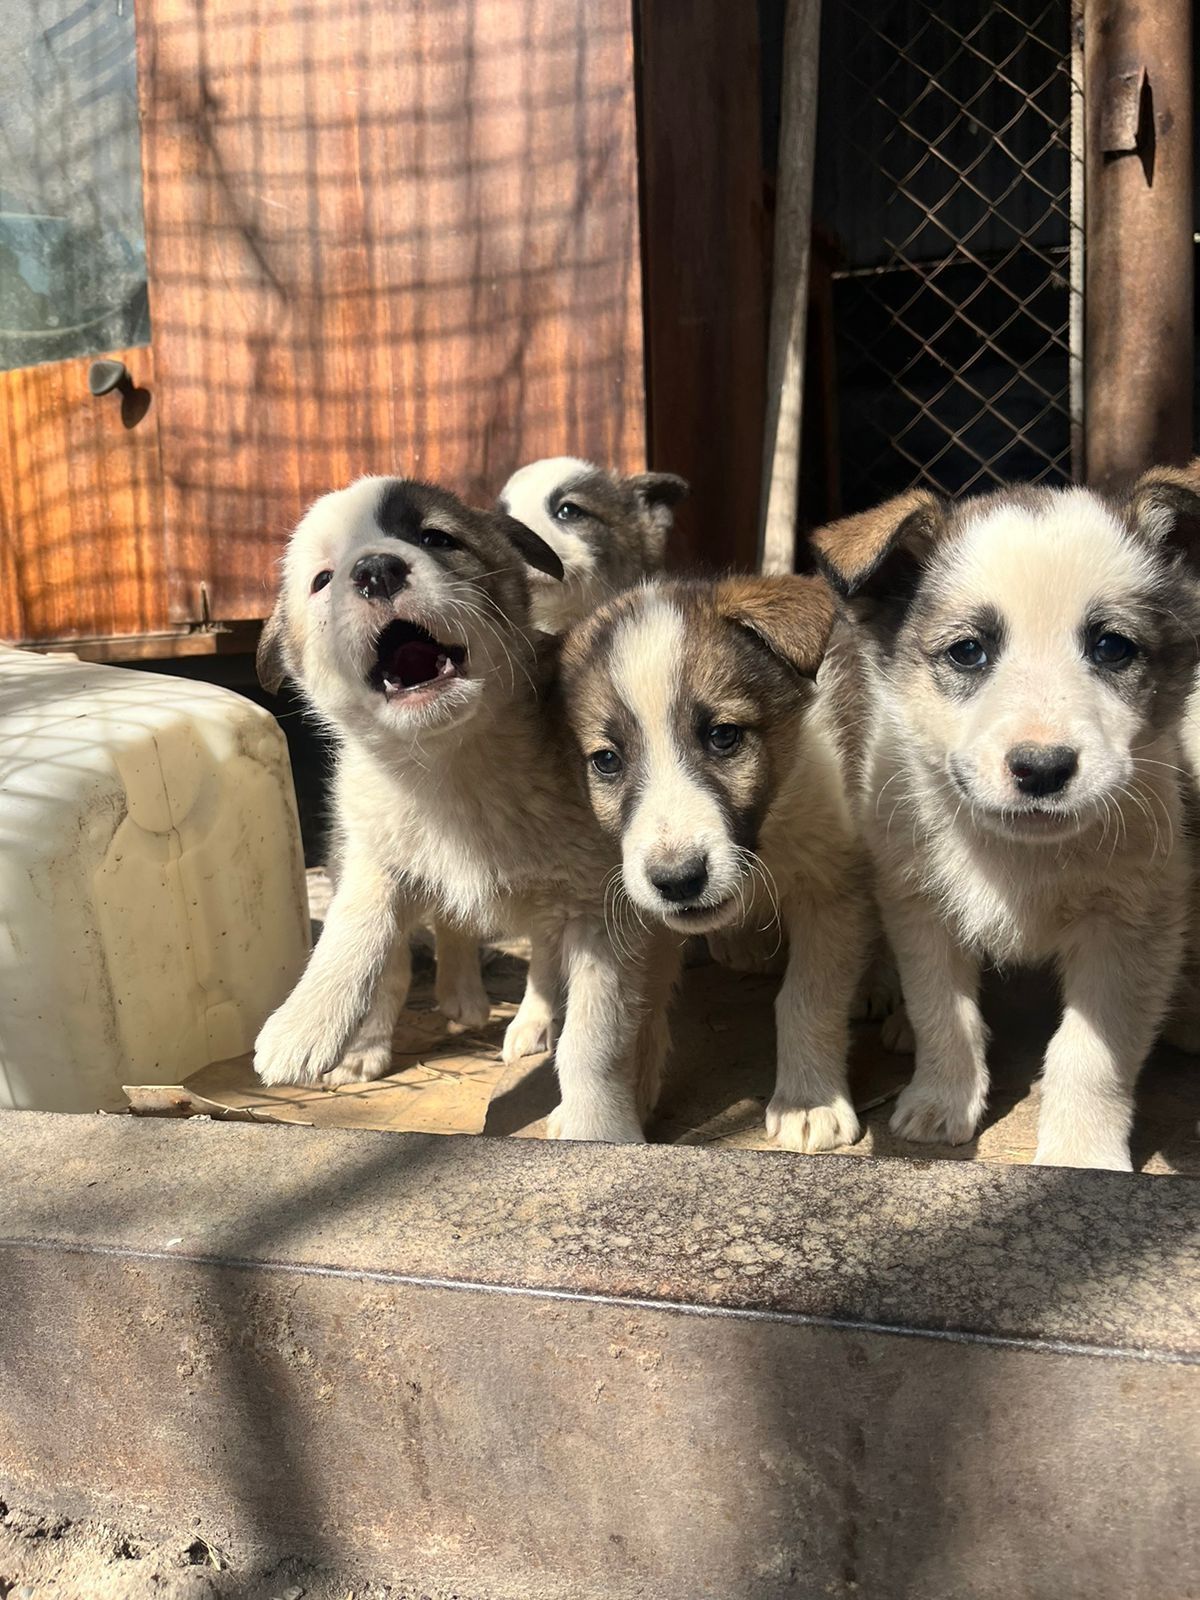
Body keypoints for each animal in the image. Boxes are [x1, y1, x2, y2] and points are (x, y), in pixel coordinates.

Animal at [254, 473, 681, 1139]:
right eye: (322, 579)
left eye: (437, 538)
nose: (374, 570)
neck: (450, 767)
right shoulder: (374, 857)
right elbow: (358, 936)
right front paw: (306, 1024)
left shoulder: (600, 910)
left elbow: (595, 1039)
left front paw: (599, 1128)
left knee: (542, 961)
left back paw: (522, 1019)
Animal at [560, 576, 876, 1152]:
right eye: (607, 761)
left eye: (723, 736)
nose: (678, 881)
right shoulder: (641, 915)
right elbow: (628, 1014)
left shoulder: (833, 887)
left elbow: (807, 999)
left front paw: (808, 1103)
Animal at [812, 467, 1200, 1171]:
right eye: (968, 652)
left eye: (1112, 647)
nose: (1043, 770)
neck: (1022, 856)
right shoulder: (922, 904)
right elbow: (944, 1012)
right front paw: (942, 1101)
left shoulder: (1130, 923)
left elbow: (1091, 1054)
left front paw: (1081, 1155)